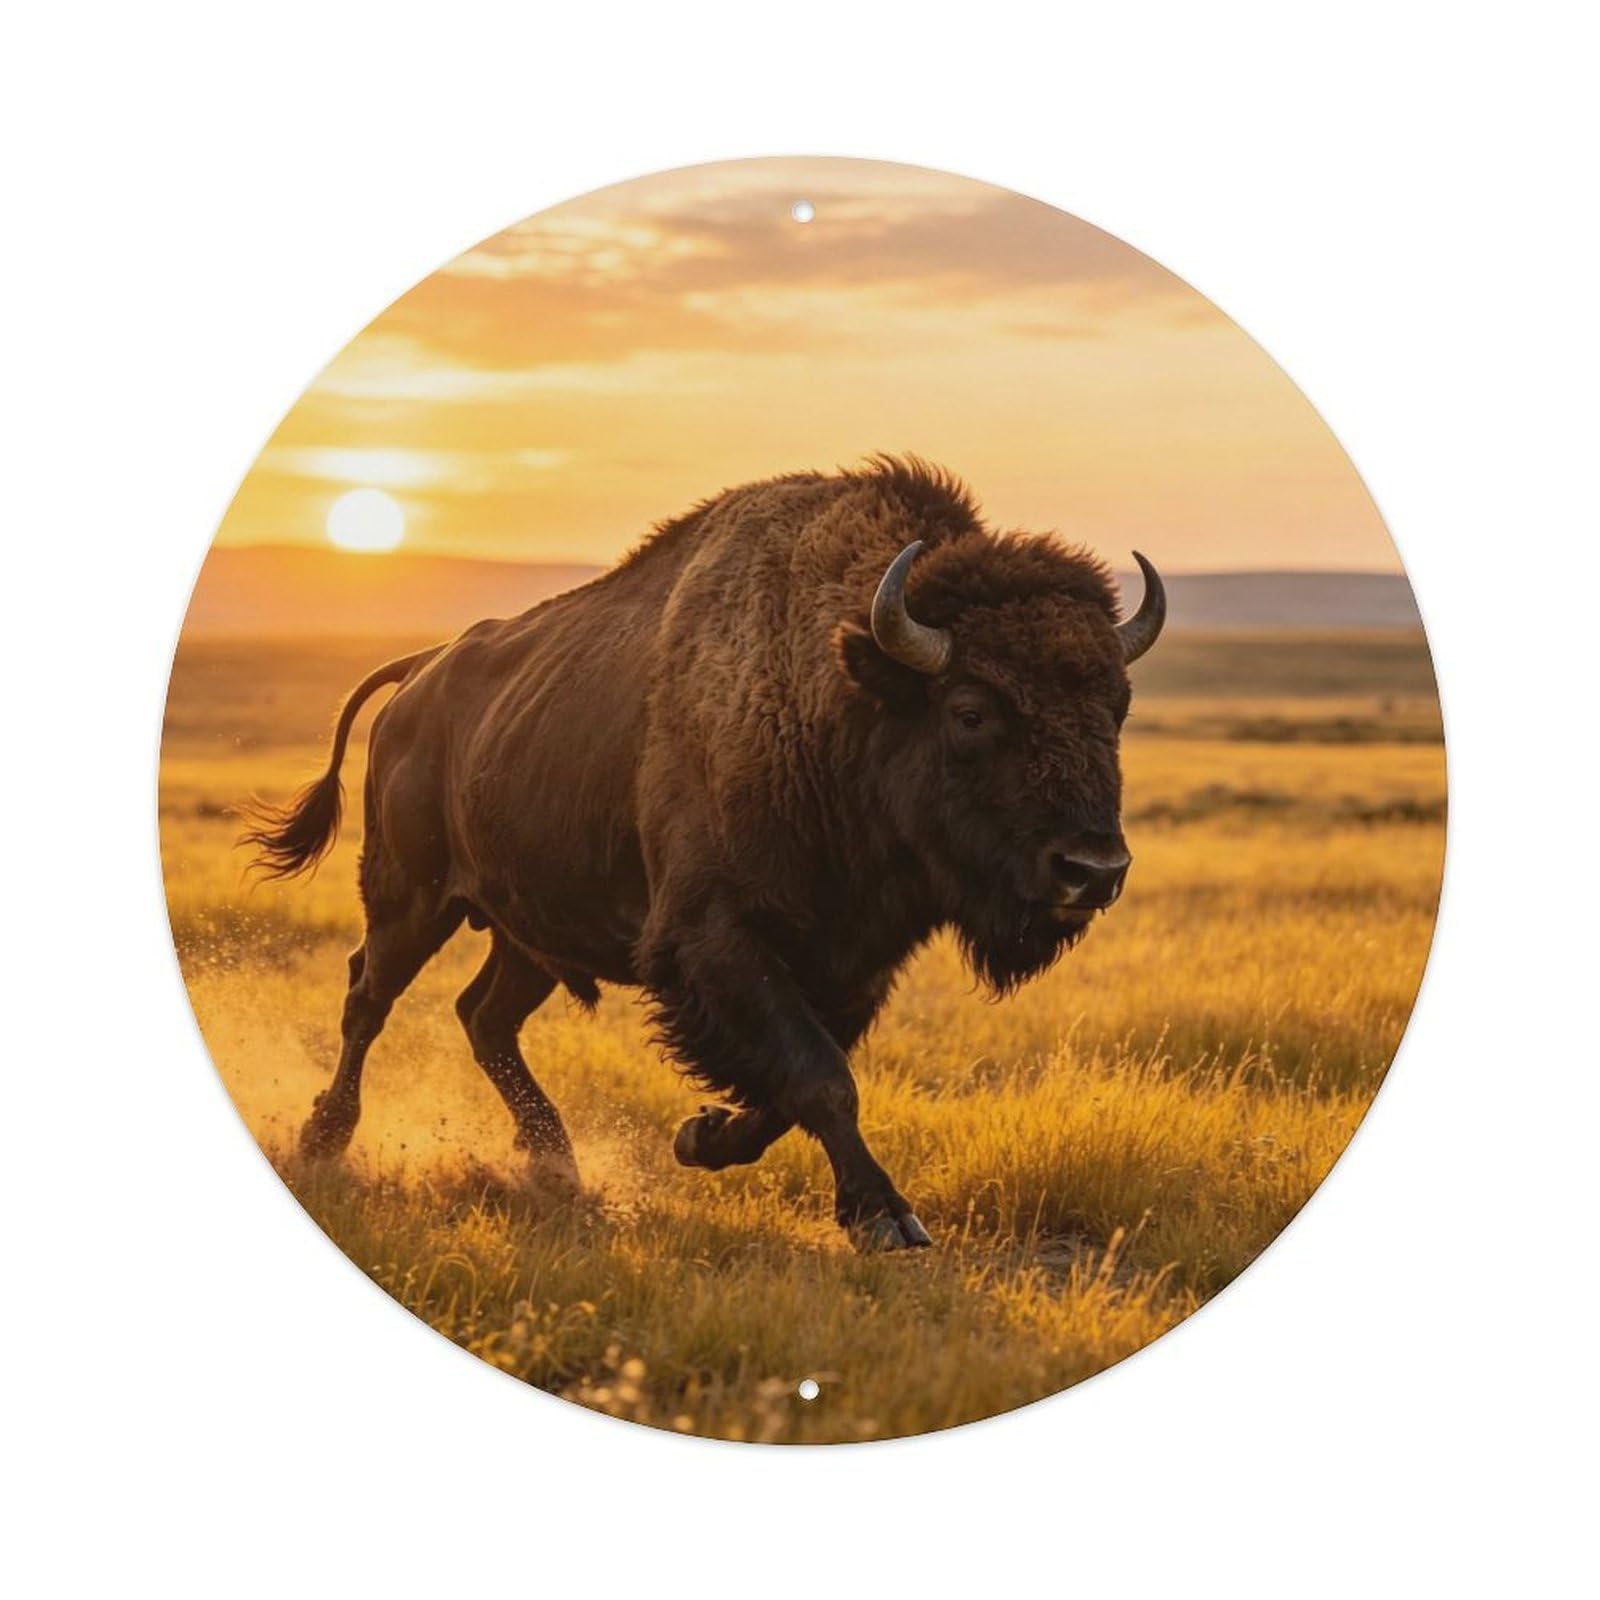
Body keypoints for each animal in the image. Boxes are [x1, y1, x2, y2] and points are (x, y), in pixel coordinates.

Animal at [243, 458, 1165, 1249]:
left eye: (1116, 707)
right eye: (971, 710)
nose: (1094, 871)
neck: (828, 691)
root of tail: (419, 674)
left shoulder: (851, 962)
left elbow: (801, 1078)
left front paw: (701, 1136)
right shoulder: (711, 936)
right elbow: (820, 1076)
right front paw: (886, 1219)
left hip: (527, 933)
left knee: (484, 1018)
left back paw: (556, 1166)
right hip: (412, 897)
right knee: (369, 997)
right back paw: (326, 1140)